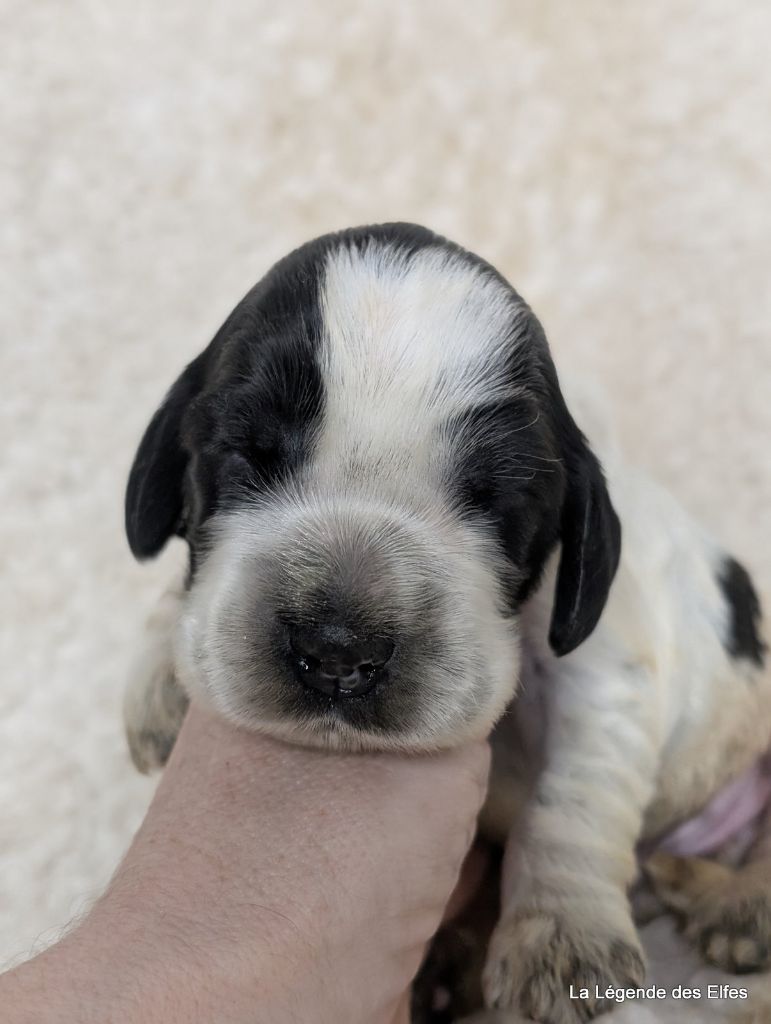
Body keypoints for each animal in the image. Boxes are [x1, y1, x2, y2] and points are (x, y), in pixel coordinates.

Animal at [123, 226, 765, 1024]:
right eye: (246, 451)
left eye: (492, 498)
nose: (337, 652)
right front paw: (159, 679)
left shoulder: (605, 673)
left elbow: (571, 800)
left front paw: (563, 936)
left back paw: (734, 911)